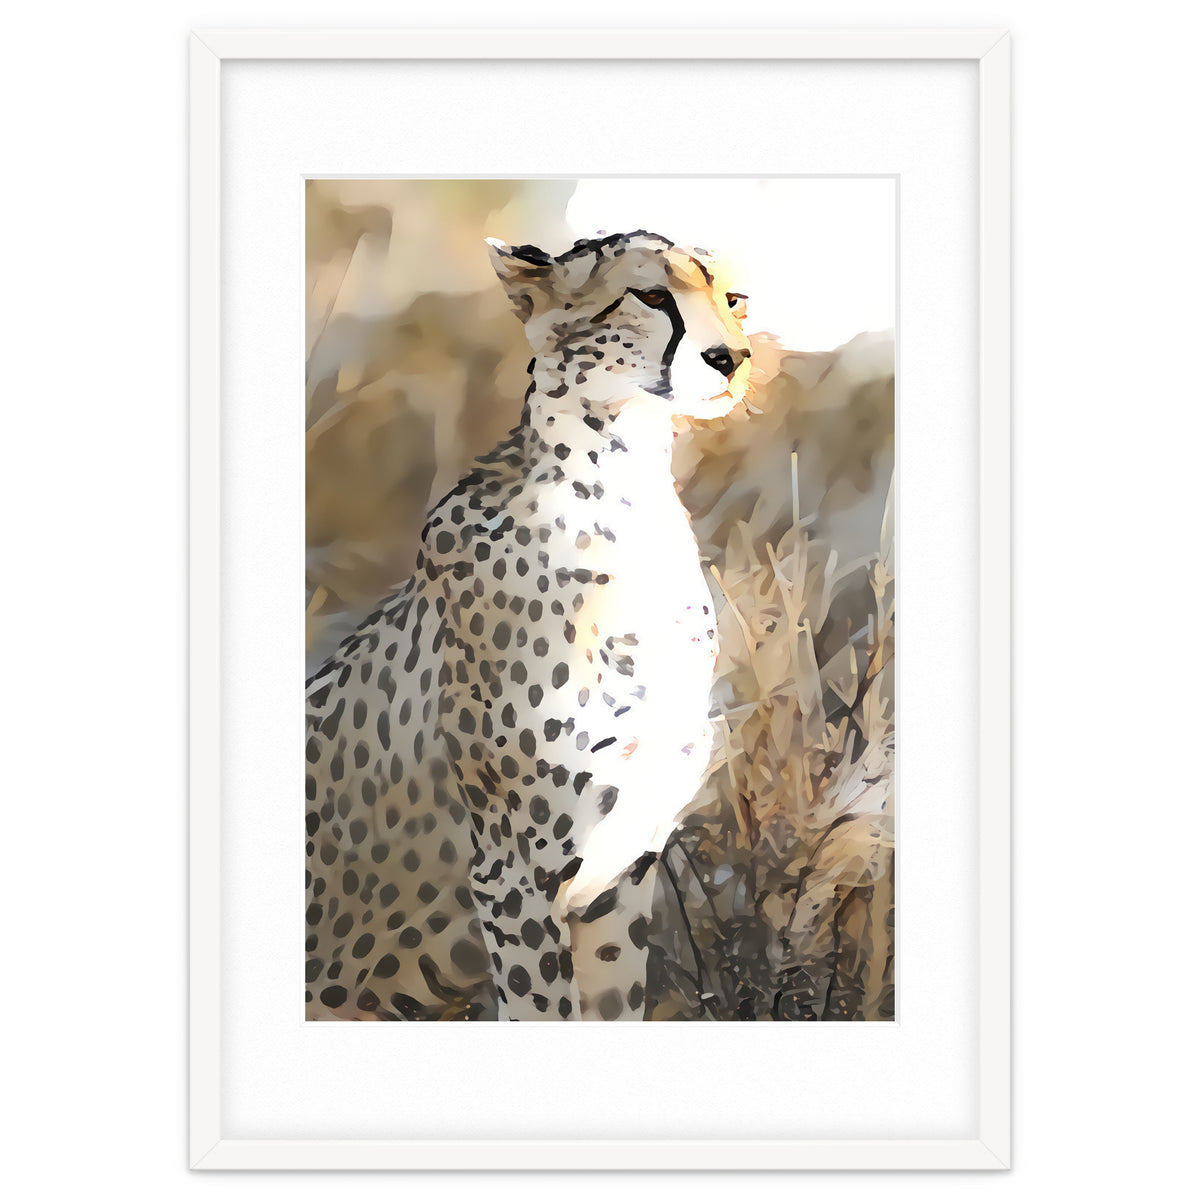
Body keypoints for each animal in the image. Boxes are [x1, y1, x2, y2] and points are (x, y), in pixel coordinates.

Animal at [304, 230, 752, 1020]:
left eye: (734, 299)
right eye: (651, 294)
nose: (733, 358)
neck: (624, 494)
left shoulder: (618, 880)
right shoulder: (513, 880)